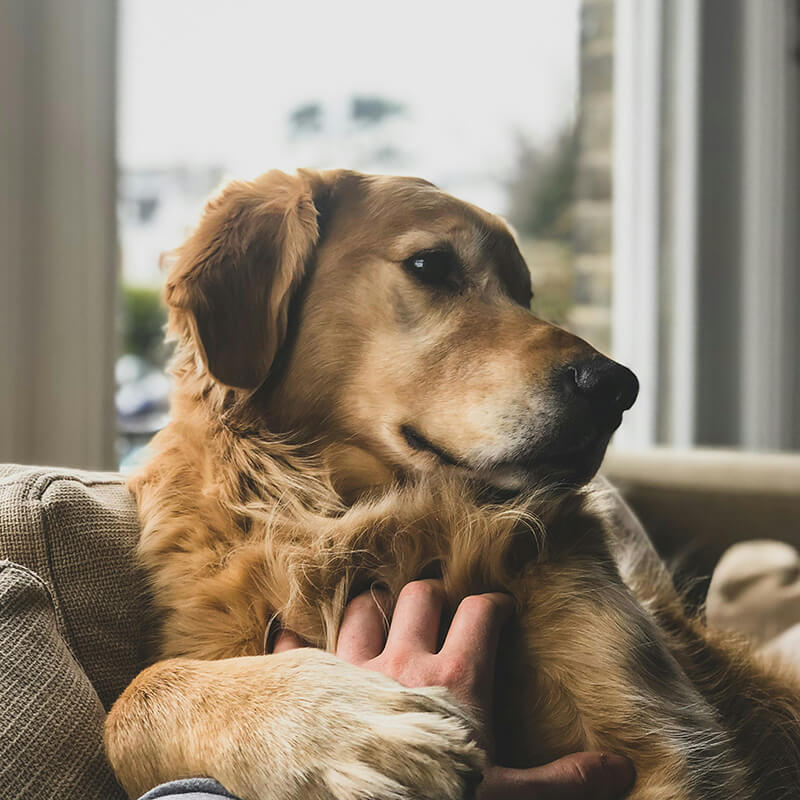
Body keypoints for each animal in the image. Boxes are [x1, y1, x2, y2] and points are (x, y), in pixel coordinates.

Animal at [104, 166, 800, 796]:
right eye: (430, 265)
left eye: (524, 293)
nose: (616, 388)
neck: (355, 513)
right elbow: (135, 698)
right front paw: (352, 726)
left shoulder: (671, 743)